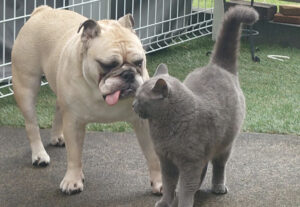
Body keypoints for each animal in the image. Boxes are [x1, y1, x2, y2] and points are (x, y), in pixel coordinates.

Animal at [133, 4, 258, 207]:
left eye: (139, 97)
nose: (133, 105)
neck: (164, 129)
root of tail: (218, 66)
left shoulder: (189, 162)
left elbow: (186, 186)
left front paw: (183, 202)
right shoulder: (166, 160)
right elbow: (169, 184)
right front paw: (165, 202)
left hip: (226, 144)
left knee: (219, 166)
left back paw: (218, 187)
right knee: (204, 169)